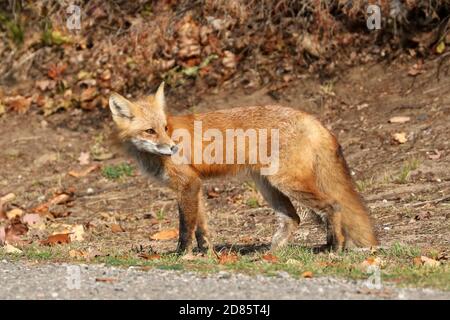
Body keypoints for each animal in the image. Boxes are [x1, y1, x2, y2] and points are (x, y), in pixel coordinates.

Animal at [108, 83, 376, 255]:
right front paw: (207, 254)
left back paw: (334, 248)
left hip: (286, 182)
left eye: (164, 128)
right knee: (293, 218)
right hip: (268, 185)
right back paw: (270, 253)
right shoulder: (196, 186)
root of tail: (311, 118)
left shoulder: (188, 184)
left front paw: (181, 255)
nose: (173, 148)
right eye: (150, 131)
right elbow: (202, 228)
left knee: (333, 206)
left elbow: (185, 228)